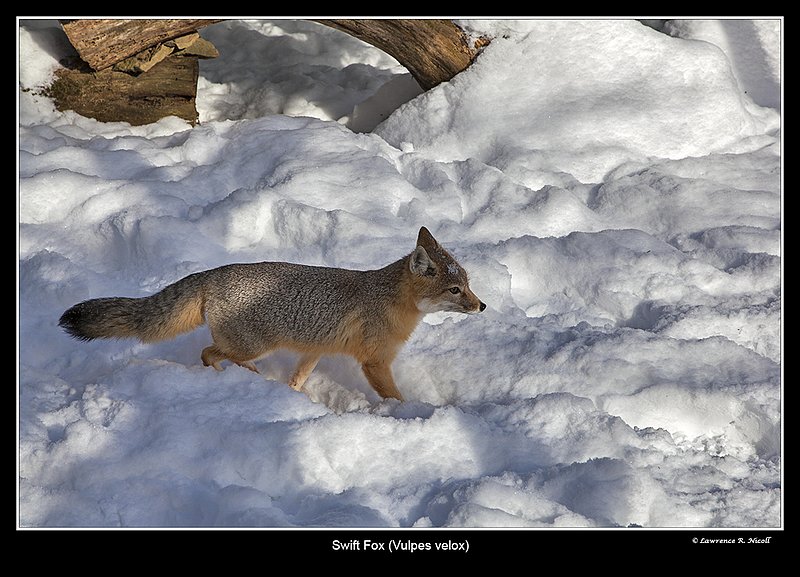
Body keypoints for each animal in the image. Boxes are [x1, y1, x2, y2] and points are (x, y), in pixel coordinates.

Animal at [58, 227, 485, 401]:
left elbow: (297, 380)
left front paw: (295, 399)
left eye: (468, 284)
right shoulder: (375, 363)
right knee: (208, 354)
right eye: (455, 291)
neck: (388, 300)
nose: (482, 305)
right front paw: (415, 414)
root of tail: (215, 272)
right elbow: (397, 398)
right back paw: (240, 378)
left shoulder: (315, 350)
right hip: (252, 346)